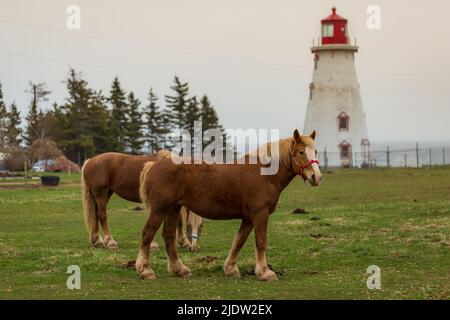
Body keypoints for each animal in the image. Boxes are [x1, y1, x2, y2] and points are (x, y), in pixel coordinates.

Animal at [135, 129, 322, 280]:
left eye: (315, 151)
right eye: (301, 152)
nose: (316, 177)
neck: (265, 174)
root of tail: (153, 165)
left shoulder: (248, 218)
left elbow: (238, 241)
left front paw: (230, 268)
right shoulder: (260, 214)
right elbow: (261, 242)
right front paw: (265, 272)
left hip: (173, 209)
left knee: (168, 236)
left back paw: (179, 269)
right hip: (159, 210)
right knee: (147, 234)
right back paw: (146, 270)